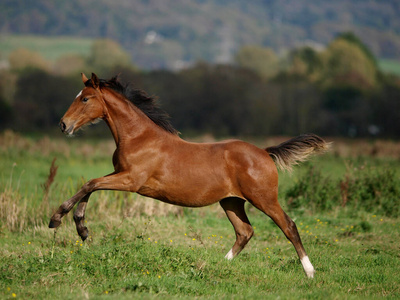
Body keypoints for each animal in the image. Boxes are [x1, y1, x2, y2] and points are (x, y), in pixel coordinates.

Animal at [49, 72, 328, 276]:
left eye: (85, 99)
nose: (63, 125)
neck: (139, 137)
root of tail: (264, 152)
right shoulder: (120, 173)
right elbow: (90, 186)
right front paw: (81, 229)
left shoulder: (131, 180)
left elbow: (90, 184)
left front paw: (58, 219)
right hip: (231, 201)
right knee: (244, 232)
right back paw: (219, 264)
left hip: (264, 198)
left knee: (288, 226)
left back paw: (310, 271)